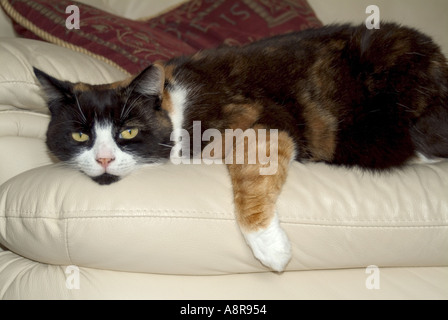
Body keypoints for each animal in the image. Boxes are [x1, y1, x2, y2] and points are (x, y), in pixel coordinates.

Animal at [34, 23, 448, 272]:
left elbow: (249, 181)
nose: (104, 159)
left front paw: (271, 248)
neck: (177, 106)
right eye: (79, 136)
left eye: (129, 132)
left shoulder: (257, 124)